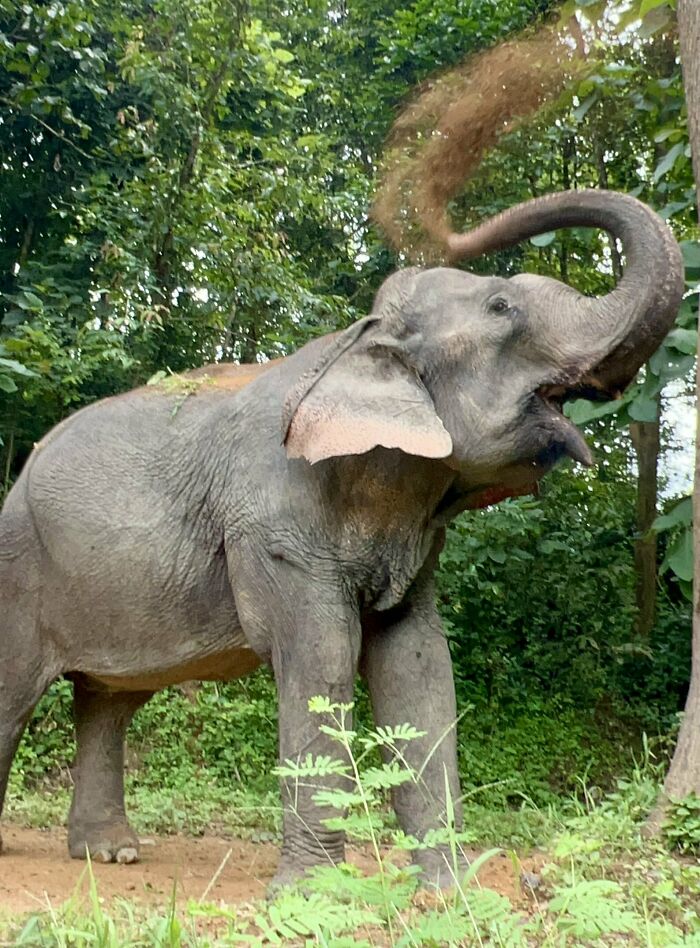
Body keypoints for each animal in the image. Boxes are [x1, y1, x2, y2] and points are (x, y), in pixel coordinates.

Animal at [0, 187, 683, 888]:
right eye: (501, 307)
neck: (362, 336)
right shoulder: (275, 520)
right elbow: (322, 656)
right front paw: (312, 890)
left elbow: (419, 668)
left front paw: (446, 888)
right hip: (19, 563)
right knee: (17, 696)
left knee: (108, 701)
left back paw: (109, 853)